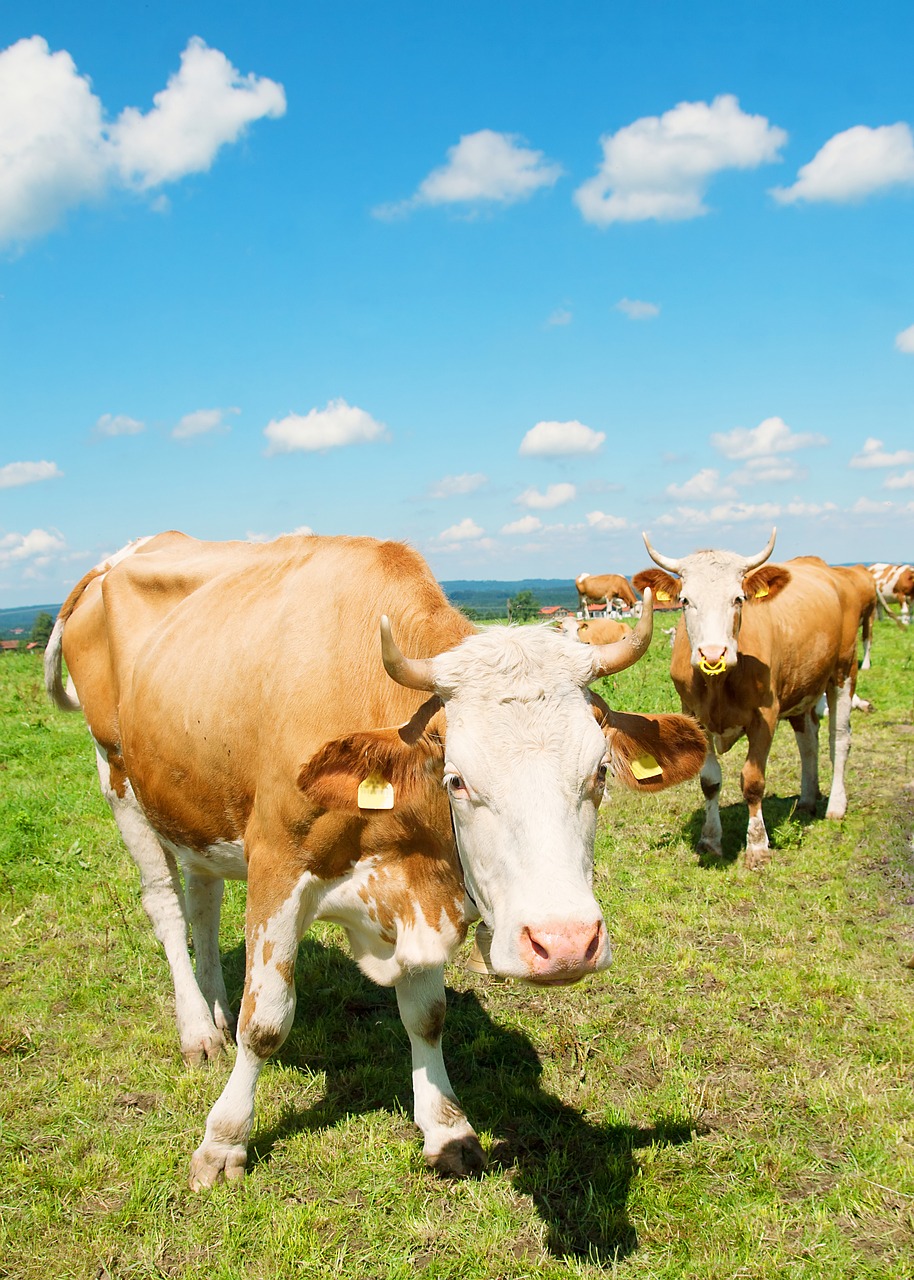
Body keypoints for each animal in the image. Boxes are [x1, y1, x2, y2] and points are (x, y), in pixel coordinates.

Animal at [46, 529, 706, 1187]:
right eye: (457, 779)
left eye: (599, 772)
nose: (565, 943)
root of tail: (119, 559)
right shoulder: (277, 866)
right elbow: (265, 1021)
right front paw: (224, 1141)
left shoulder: (423, 889)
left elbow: (427, 1015)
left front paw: (446, 1128)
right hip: (118, 777)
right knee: (166, 906)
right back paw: (197, 1030)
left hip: (193, 803)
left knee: (204, 900)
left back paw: (213, 1008)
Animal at [629, 529, 870, 870]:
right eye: (685, 600)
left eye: (738, 598)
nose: (713, 654)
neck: (718, 684)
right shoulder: (694, 715)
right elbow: (709, 781)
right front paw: (710, 840)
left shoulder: (765, 716)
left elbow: (753, 781)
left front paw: (757, 845)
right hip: (803, 685)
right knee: (808, 740)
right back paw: (808, 799)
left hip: (843, 671)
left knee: (839, 737)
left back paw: (836, 805)